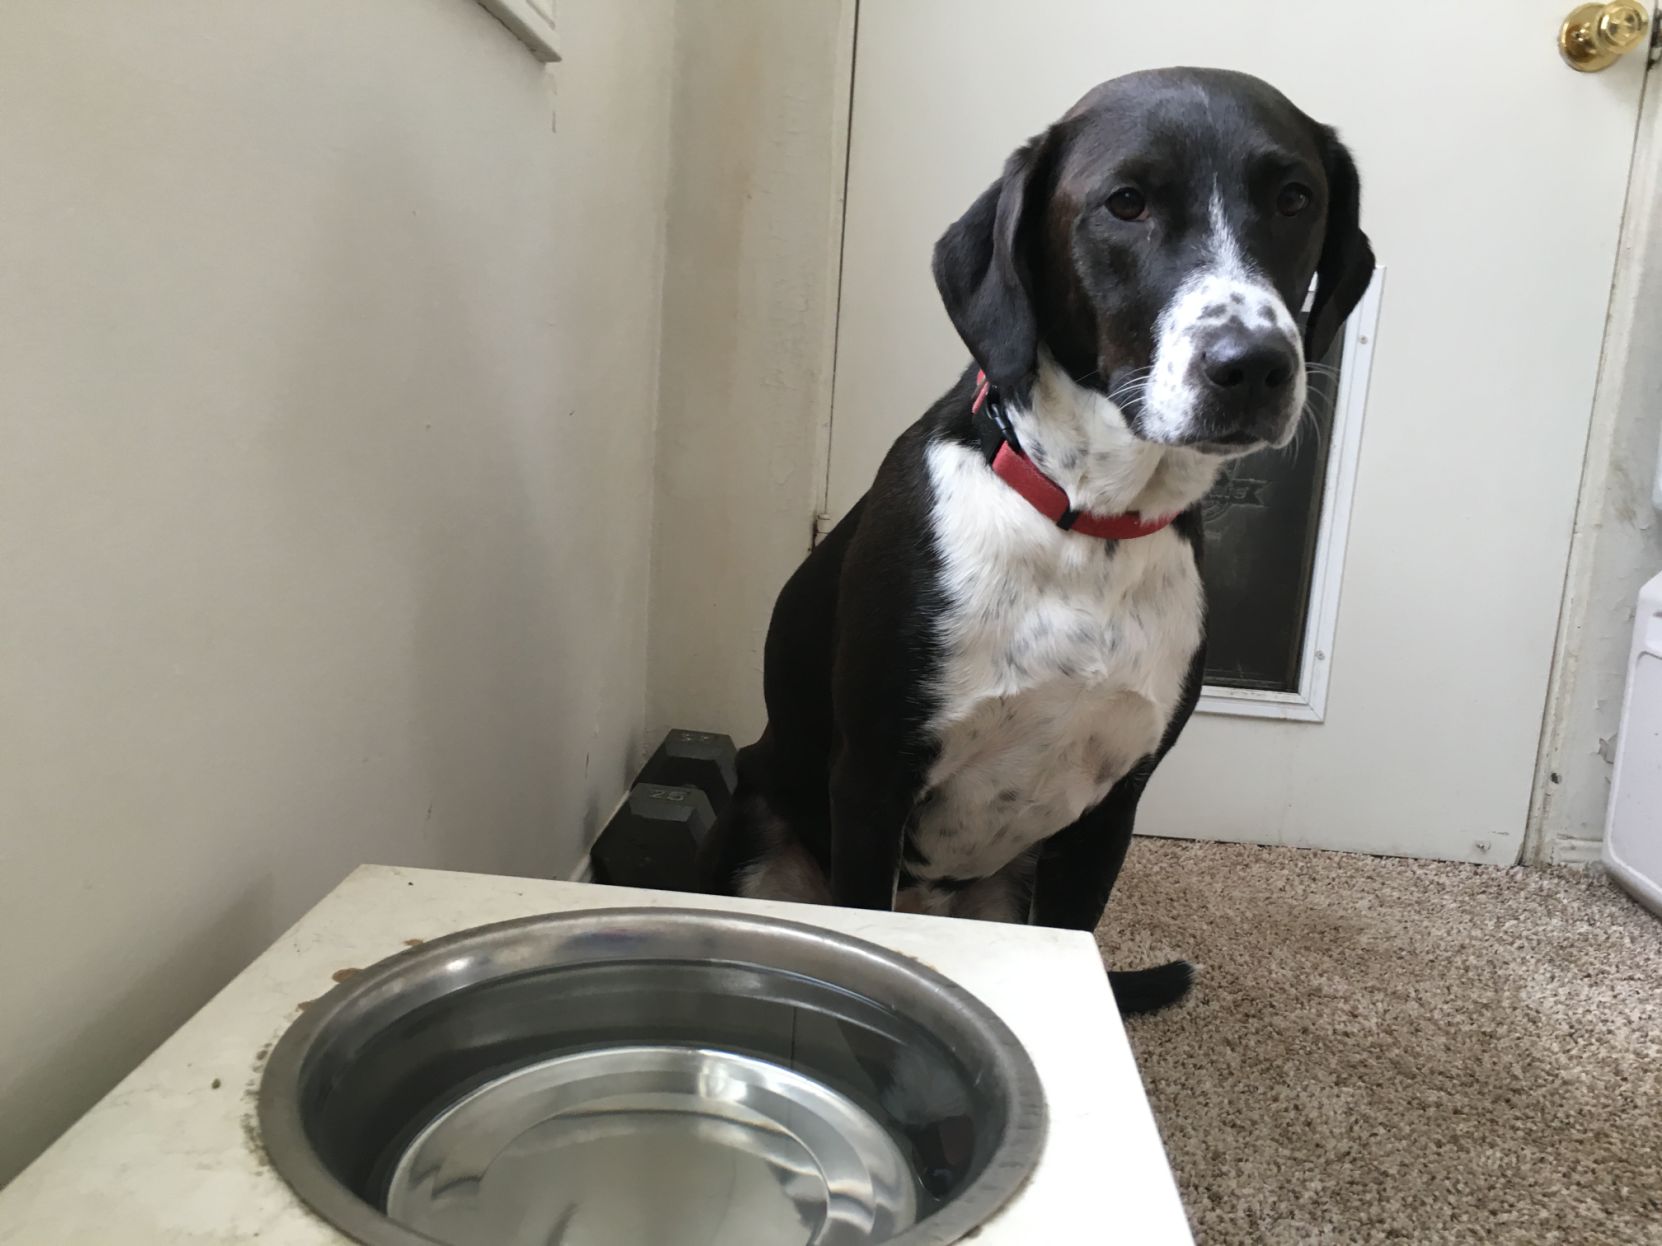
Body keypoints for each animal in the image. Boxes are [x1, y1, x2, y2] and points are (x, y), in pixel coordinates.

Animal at [694, 68, 1369, 1016]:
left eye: (1295, 198)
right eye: (1125, 202)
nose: (1253, 366)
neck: (1087, 522)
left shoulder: (1110, 814)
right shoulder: (873, 779)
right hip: (758, 829)